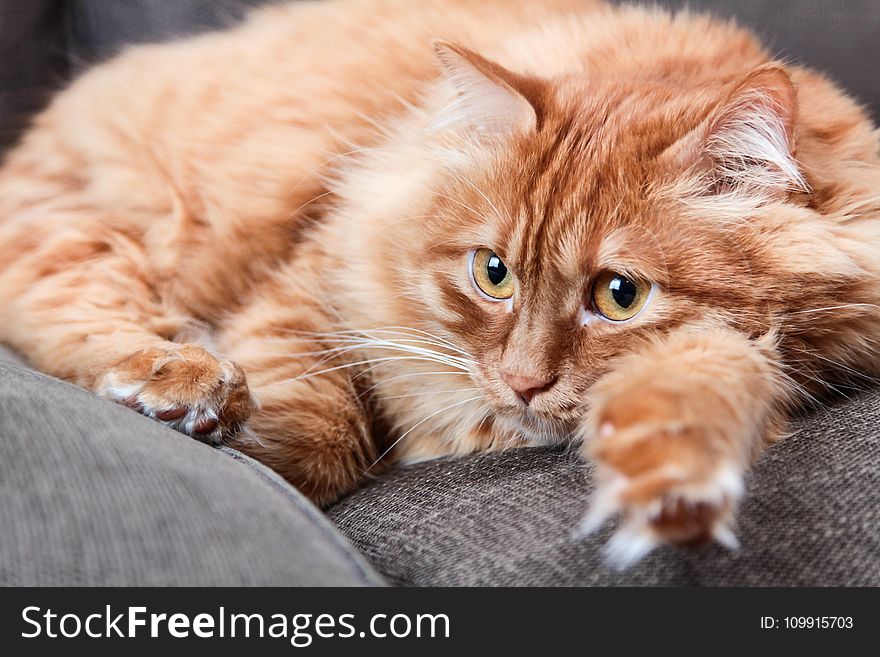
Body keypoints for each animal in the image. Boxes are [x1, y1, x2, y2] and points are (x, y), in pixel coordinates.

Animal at [1, 0, 880, 564]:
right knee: (79, 320)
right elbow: (323, 425)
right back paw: (185, 384)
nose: (523, 383)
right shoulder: (316, 278)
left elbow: (698, 387)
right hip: (90, 235)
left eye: (618, 295)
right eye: (493, 274)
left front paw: (666, 479)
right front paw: (258, 447)